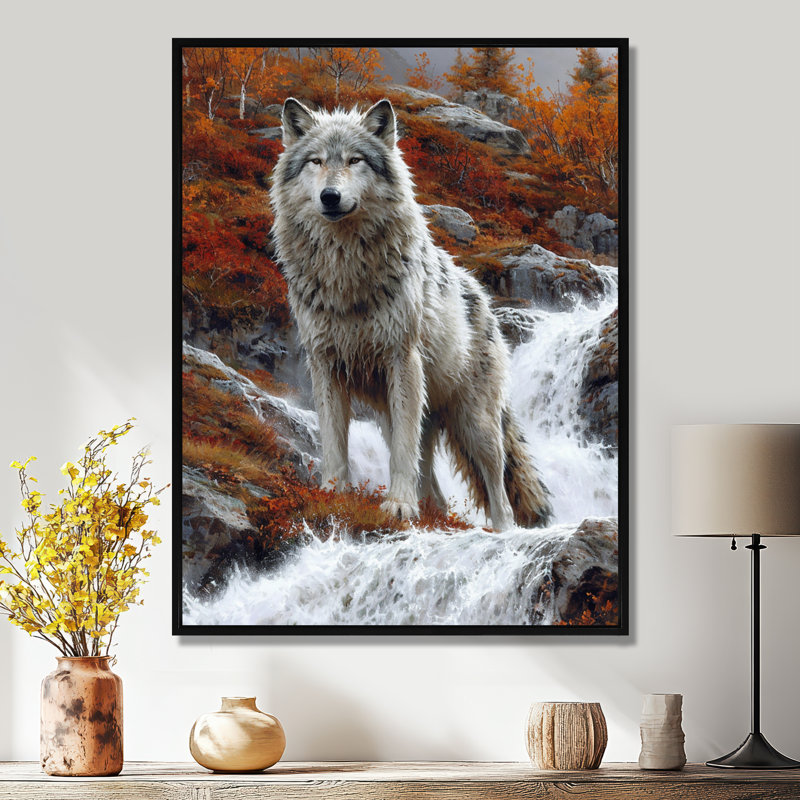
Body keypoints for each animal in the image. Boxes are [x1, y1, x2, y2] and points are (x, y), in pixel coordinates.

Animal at [270, 97, 552, 530]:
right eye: (315, 161)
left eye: (354, 160)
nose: (330, 196)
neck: (346, 275)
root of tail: (481, 296)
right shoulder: (325, 365)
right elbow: (334, 443)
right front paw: (333, 495)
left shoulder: (402, 360)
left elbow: (403, 455)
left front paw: (399, 506)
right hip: (402, 412)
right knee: (436, 489)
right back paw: (433, 515)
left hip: (475, 423)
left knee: (498, 491)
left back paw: (501, 532)